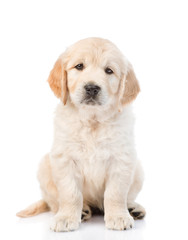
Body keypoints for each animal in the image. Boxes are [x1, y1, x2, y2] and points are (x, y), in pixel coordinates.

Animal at [16, 37, 145, 231]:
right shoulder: (64, 159)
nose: (92, 88)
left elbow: (115, 193)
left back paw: (133, 208)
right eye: (79, 66)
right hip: (45, 166)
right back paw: (82, 210)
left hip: (138, 168)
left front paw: (119, 216)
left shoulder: (122, 159)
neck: (92, 121)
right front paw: (66, 217)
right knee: (53, 203)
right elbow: (70, 193)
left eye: (109, 70)